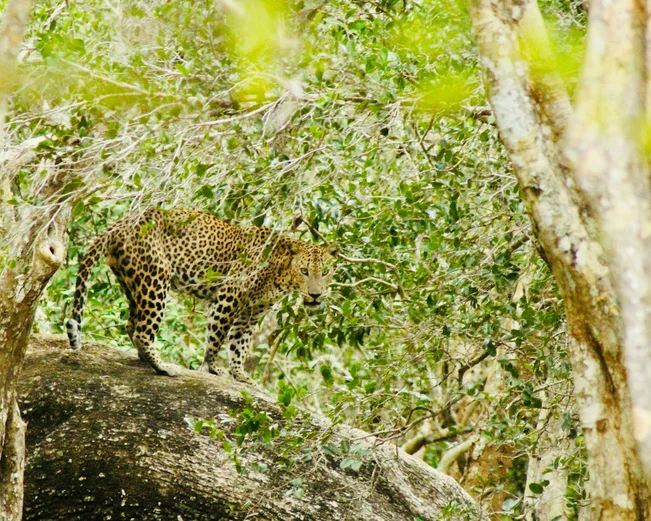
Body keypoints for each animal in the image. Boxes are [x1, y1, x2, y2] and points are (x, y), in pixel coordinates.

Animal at [66, 208, 337, 381]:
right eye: (304, 271)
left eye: (325, 272)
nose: (315, 295)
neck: (279, 272)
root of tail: (121, 223)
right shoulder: (228, 296)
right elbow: (216, 337)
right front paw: (212, 368)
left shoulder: (250, 313)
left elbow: (239, 343)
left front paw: (239, 374)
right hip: (156, 280)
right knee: (143, 331)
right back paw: (163, 367)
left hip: (133, 284)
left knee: (132, 326)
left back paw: (147, 360)